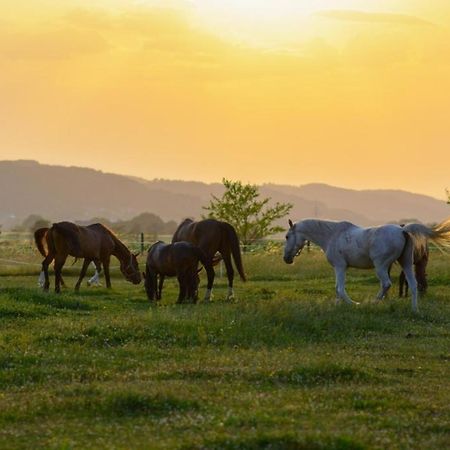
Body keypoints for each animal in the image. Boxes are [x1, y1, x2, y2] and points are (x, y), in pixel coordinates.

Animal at [284, 219, 450, 312]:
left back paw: (372, 303)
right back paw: (415, 310)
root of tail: (403, 230)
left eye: (286, 236)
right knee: (414, 285)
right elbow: (337, 289)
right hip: (406, 263)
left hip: (381, 266)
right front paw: (337, 306)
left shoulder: (340, 267)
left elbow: (340, 289)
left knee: (386, 284)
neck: (332, 236)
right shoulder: (339, 268)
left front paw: (354, 304)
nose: (286, 259)